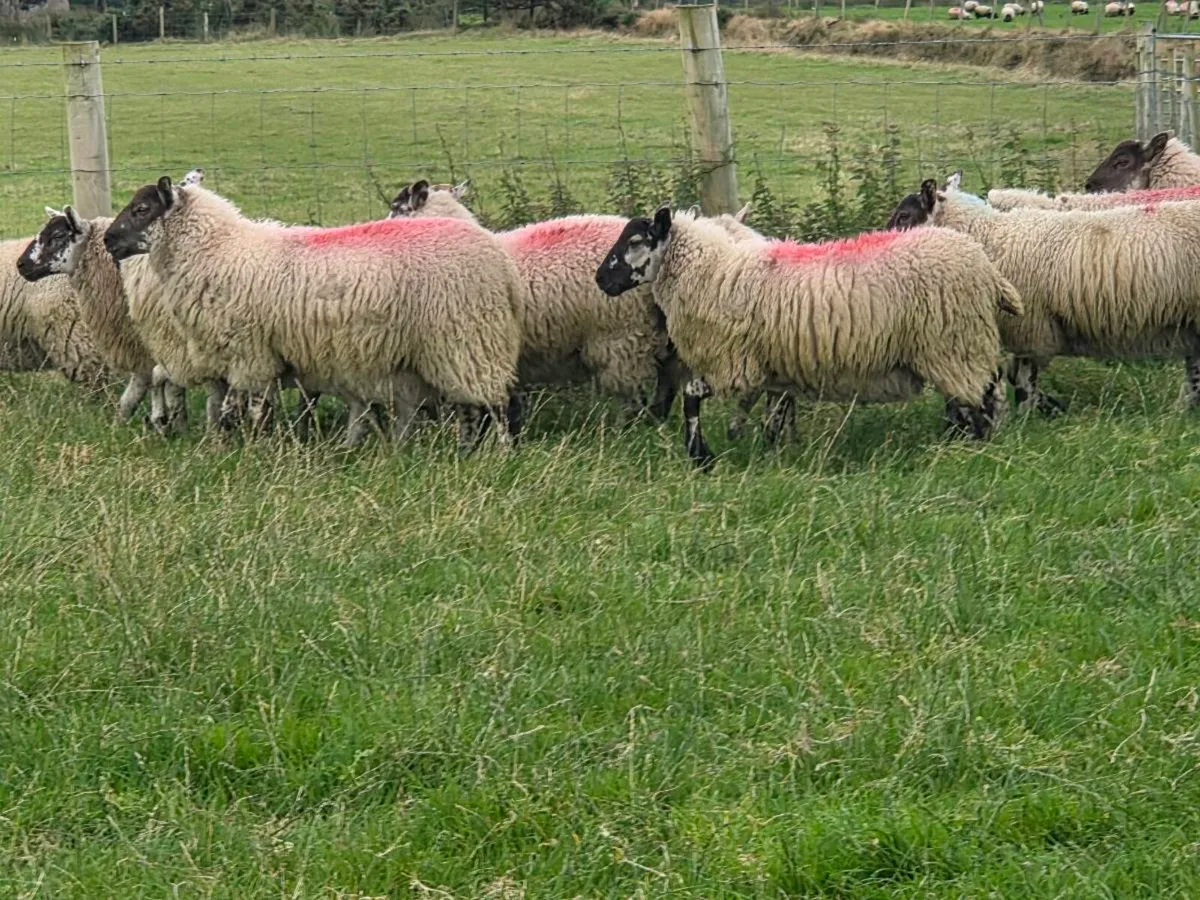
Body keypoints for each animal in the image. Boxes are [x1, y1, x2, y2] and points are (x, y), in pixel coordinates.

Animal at [104, 176, 523, 454]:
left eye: (142, 209)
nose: (108, 240)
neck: (220, 250)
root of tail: (500, 261)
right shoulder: (247, 357)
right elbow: (232, 408)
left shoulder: (252, 355)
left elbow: (244, 411)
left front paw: (252, 450)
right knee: (472, 405)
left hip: (466, 339)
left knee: (494, 404)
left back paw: (499, 455)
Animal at [594, 208, 1019, 468]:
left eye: (636, 242)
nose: (600, 280)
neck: (713, 270)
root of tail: (986, 267)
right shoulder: (773, 368)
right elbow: (773, 415)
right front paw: (769, 450)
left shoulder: (733, 365)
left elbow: (691, 398)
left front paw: (701, 455)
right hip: (957, 347)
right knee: (982, 391)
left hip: (954, 343)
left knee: (985, 395)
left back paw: (978, 445)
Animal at [888, 174, 1200, 418]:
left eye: (904, 216)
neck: (990, 238)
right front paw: (1047, 407)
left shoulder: (1030, 327)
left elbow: (1022, 380)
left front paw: (1031, 415)